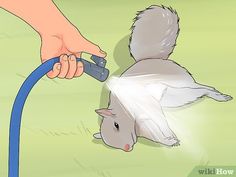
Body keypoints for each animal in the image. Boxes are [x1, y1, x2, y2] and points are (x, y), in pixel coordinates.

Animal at [92, 4, 232, 151]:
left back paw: (220, 96)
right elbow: (156, 135)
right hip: (178, 97)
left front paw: (170, 134)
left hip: (179, 83)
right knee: (201, 91)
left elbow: (161, 121)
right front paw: (170, 141)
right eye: (113, 145)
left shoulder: (148, 105)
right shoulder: (144, 126)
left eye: (116, 125)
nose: (127, 148)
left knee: (205, 87)